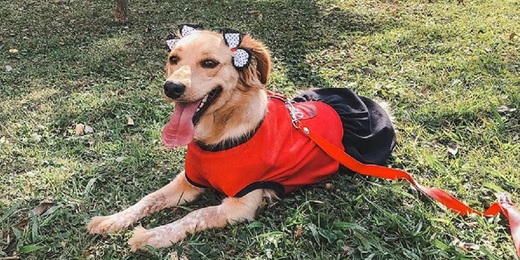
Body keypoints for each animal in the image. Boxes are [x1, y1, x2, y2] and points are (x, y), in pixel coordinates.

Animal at [86, 25, 394, 251]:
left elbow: (193, 215)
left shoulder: (238, 205)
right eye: (174, 59)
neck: (217, 134)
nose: (172, 87)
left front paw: (150, 236)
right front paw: (112, 220)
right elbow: (149, 198)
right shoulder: (187, 182)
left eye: (209, 63)